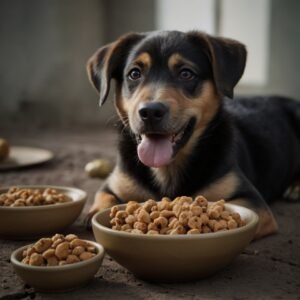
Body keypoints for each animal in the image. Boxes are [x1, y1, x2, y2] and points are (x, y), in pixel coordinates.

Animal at [85, 29, 300, 238]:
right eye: (134, 73)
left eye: (186, 73)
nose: (150, 112)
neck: (168, 170)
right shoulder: (114, 184)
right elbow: (102, 199)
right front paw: (93, 213)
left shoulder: (255, 203)